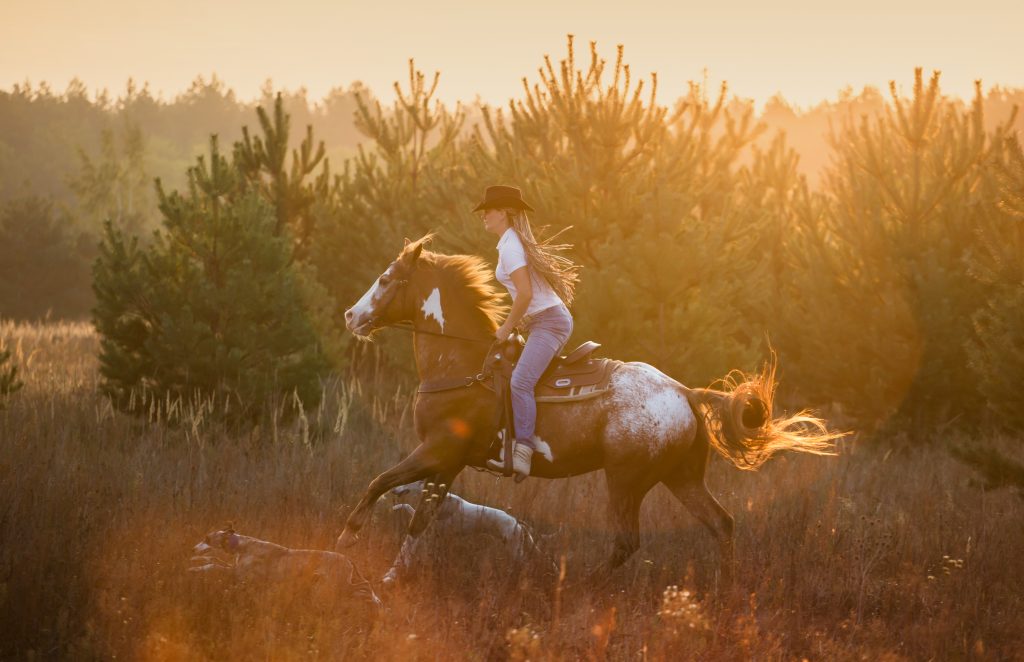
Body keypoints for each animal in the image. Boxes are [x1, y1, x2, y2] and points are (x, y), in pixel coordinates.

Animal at [191, 528, 385, 618]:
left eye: (207, 538)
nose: (194, 548)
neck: (242, 545)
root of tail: (347, 558)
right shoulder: (236, 570)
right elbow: (213, 559)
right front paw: (195, 561)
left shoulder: (237, 573)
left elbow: (214, 565)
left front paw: (195, 568)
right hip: (340, 586)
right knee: (364, 588)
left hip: (339, 585)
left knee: (366, 585)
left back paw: (376, 602)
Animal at [382, 481, 557, 586]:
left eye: (406, 483)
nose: (392, 490)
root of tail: (517, 523)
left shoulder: (431, 524)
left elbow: (407, 507)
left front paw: (395, 507)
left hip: (515, 551)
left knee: (526, 565)